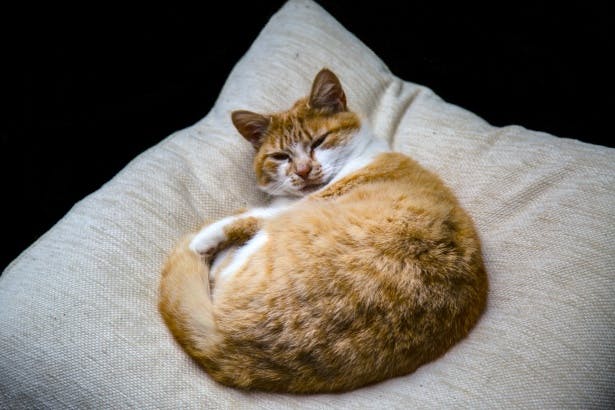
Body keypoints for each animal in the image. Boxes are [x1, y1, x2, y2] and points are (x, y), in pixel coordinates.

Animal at [160, 69, 490, 392]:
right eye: (280, 156)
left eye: (319, 141)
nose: (303, 171)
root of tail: (233, 344)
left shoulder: (288, 209)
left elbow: (247, 217)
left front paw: (203, 240)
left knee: (221, 267)